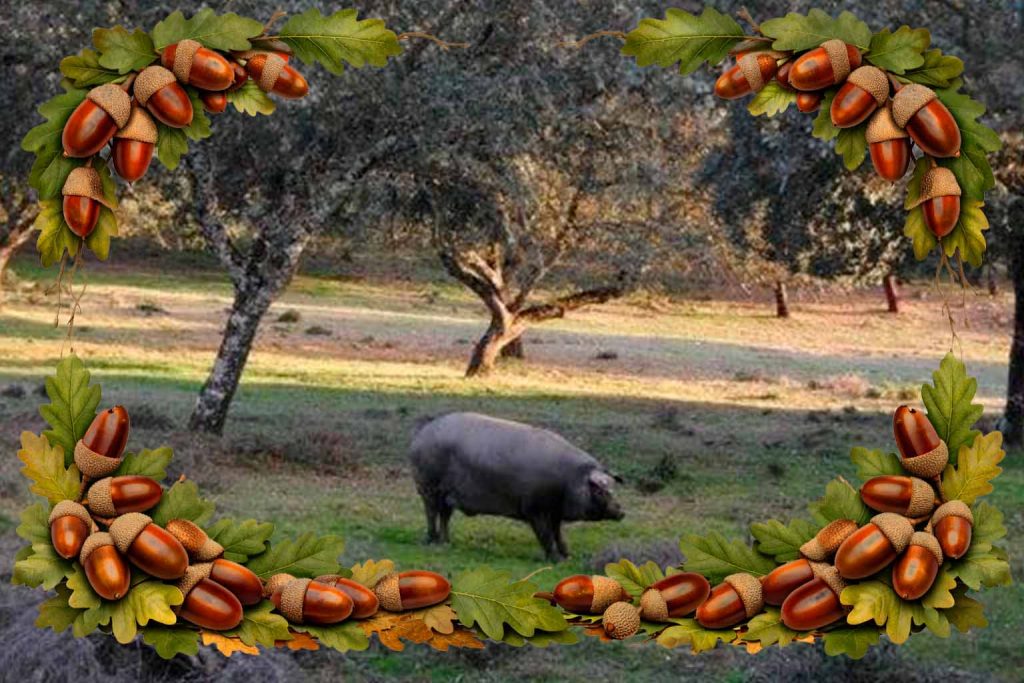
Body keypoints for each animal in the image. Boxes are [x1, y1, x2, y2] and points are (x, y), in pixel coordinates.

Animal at [408, 412, 624, 560]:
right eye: (599, 490)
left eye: (612, 488)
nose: (621, 511)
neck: (569, 480)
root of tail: (420, 436)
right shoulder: (534, 509)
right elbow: (545, 534)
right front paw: (556, 560)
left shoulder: (555, 512)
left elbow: (558, 533)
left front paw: (567, 555)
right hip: (428, 486)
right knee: (431, 513)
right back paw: (431, 541)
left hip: (448, 496)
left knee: (444, 516)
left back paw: (446, 542)